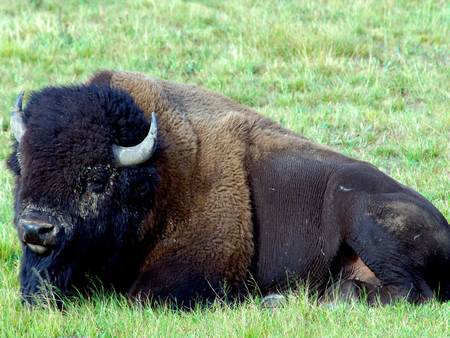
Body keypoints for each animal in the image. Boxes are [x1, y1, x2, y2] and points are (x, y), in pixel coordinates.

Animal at [7, 71, 450, 306]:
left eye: (97, 178)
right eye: (20, 167)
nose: (36, 228)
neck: (158, 176)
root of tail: (444, 227)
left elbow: (141, 297)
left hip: (364, 217)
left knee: (411, 291)